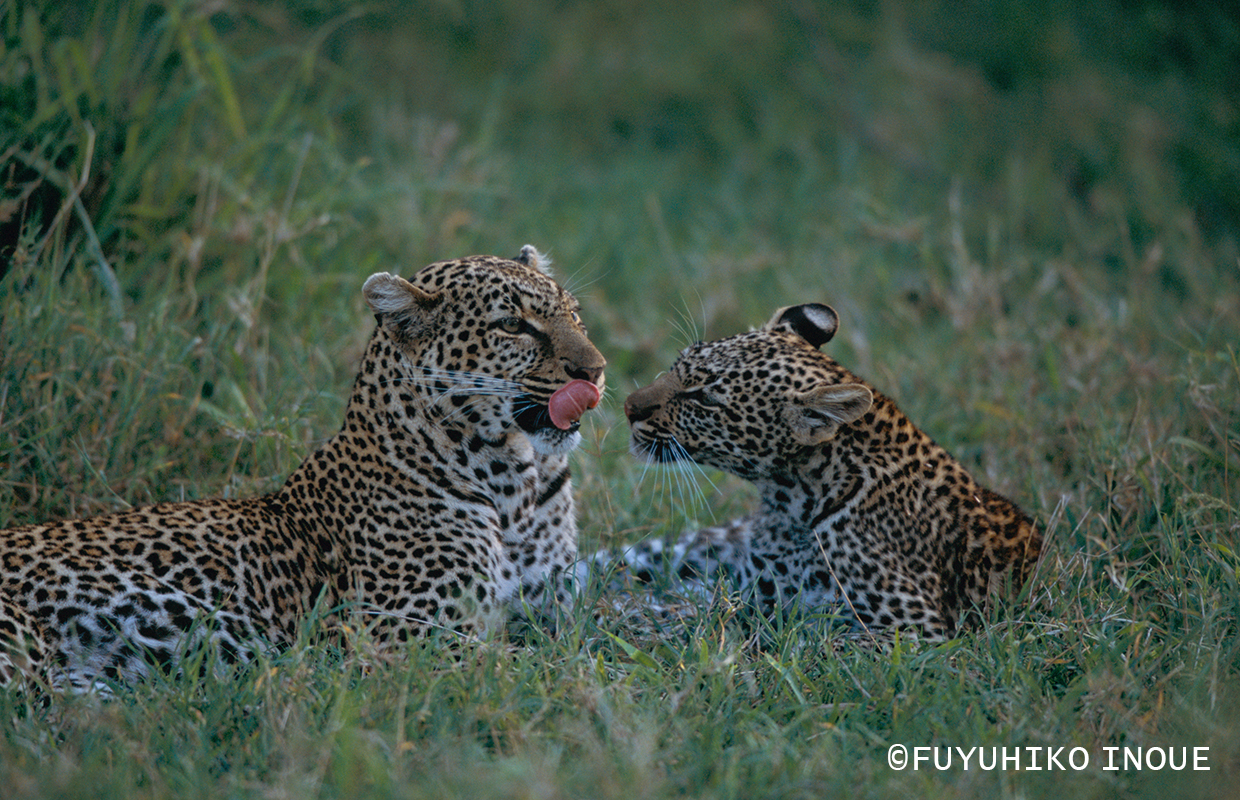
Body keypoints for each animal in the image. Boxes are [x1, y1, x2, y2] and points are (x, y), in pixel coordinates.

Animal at [0, 246, 605, 689]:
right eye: (513, 326)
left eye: (574, 315)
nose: (596, 370)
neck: (514, 483)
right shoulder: (408, 639)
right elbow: (536, 670)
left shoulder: (552, 609)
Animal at [589, 302, 1041, 640]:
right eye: (676, 365)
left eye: (704, 399)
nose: (629, 407)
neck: (792, 496)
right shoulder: (752, 586)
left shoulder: (911, 629)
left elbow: (801, 637)